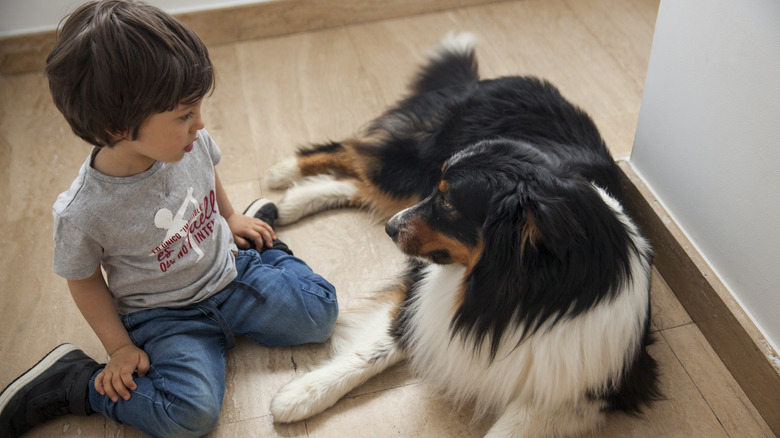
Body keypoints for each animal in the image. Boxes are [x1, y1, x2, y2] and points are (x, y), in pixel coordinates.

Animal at [266, 32, 660, 436]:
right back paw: (284, 173)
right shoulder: (423, 294)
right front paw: (302, 393)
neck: (517, 297)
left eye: (449, 203)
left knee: (360, 184)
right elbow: (382, 342)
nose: (391, 231)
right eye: (441, 195)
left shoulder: (588, 386)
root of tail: (489, 80)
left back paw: (292, 201)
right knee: (351, 152)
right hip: (415, 160)